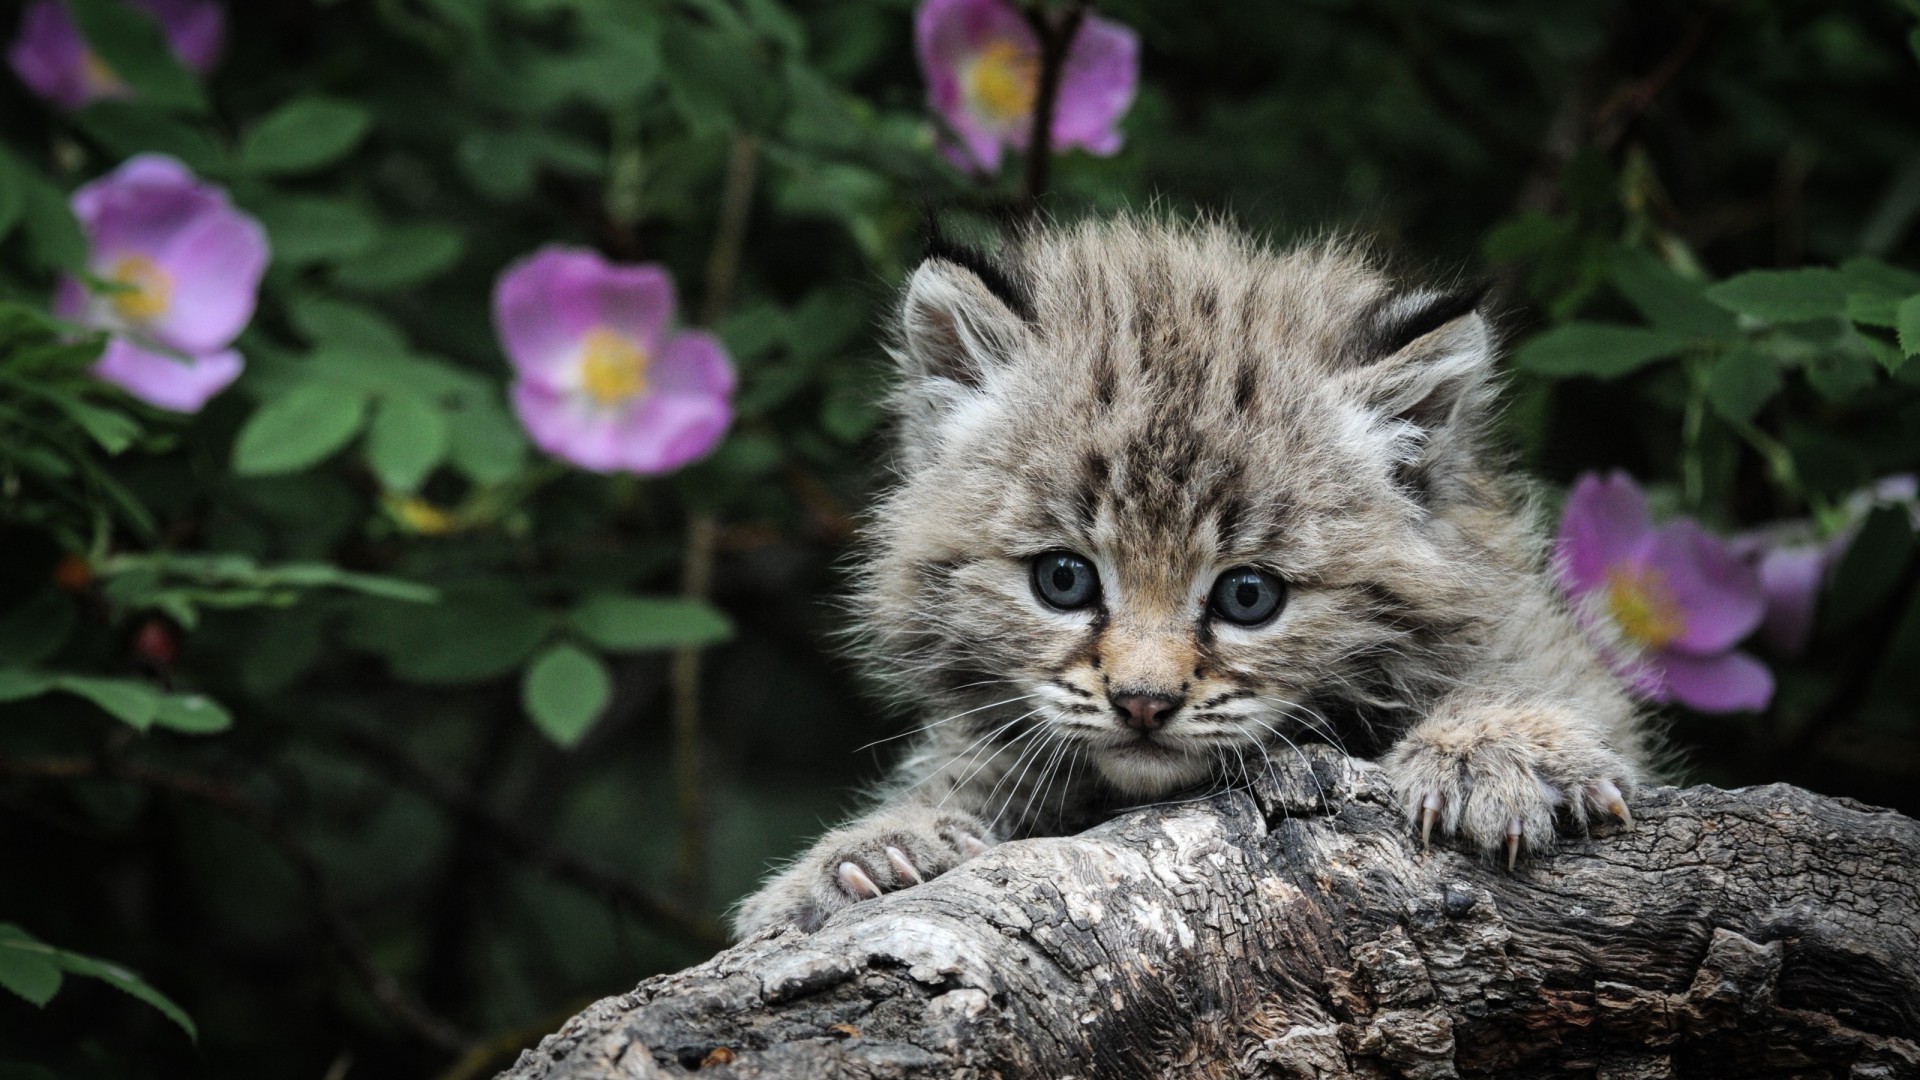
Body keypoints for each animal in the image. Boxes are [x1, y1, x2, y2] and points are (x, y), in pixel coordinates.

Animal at [733, 219, 1651, 933]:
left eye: (1249, 595)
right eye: (1063, 580)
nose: (1143, 703)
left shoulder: (1516, 611)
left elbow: (1532, 670)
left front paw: (1492, 749)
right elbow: (972, 767)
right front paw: (878, 852)